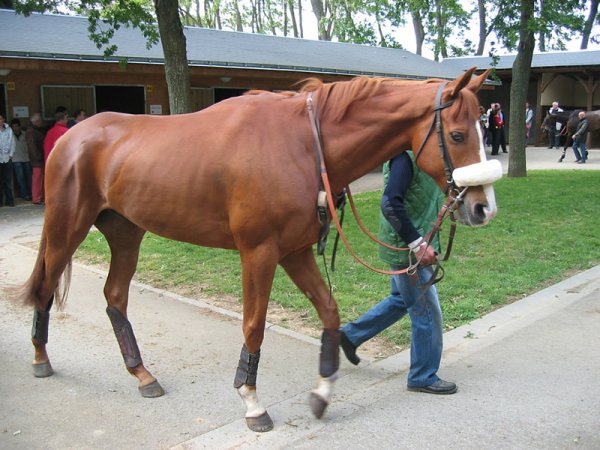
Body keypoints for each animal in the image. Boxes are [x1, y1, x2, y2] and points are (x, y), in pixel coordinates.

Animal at [21, 67, 500, 432]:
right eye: (458, 134)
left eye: (483, 128)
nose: (483, 208)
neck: (303, 144)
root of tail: (71, 137)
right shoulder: (259, 252)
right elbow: (254, 326)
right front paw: (252, 402)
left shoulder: (295, 251)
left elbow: (329, 312)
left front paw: (322, 391)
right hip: (67, 227)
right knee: (46, 286)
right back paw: (40, 358)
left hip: (126, 233)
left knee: (115, 296)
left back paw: (142, 375)